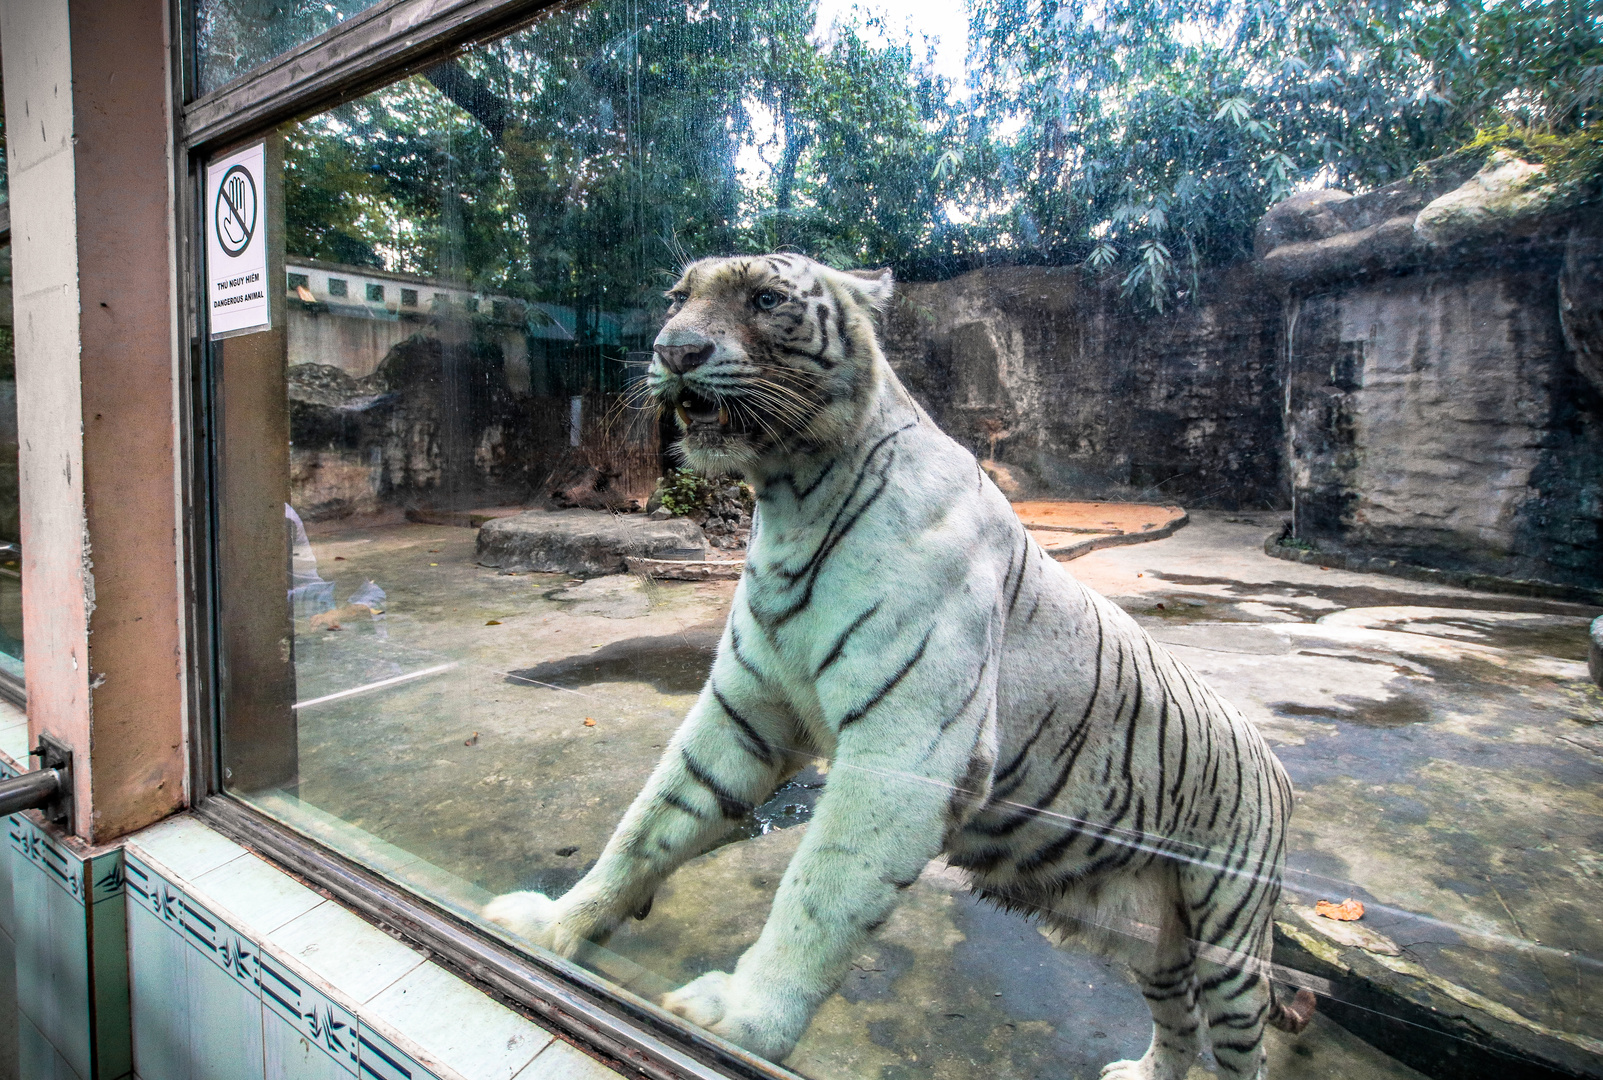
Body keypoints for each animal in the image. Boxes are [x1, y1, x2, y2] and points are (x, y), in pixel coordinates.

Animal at [487, 254, 1314, 1076]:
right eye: (676, 298)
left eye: (765, 299)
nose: (674, 351)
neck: (789, 500)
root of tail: (1278, 772)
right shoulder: (745, 708)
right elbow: (648, 822)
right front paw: (553, 925)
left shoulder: (905, 746)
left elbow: (821, 886)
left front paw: (742, 1020)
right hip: (1145, 933)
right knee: (1175, 1014)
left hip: (1228, 927)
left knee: (1238, 1041)